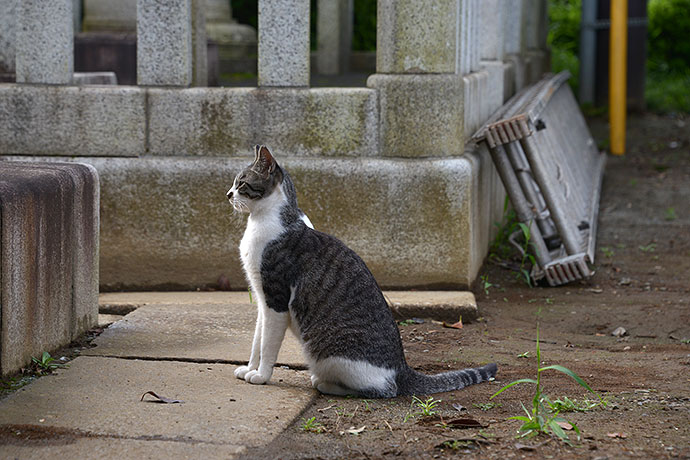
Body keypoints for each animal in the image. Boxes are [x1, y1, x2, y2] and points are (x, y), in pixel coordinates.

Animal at [226, 146, 494, 398]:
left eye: (241, 183)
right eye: (234, 182)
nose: (228, 194)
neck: (265, 220)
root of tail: (401, 368)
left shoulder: (276, 299)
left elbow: (268, 345)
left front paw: (261, 376)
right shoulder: (262, 299)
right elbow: (257, 341)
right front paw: (249, 368)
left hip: (331, 355)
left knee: (383, 389)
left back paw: (324, 383)